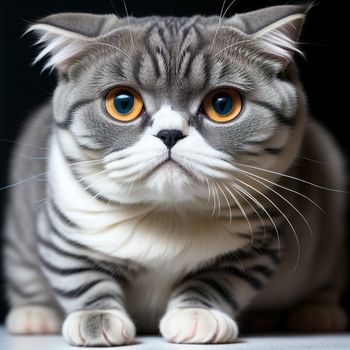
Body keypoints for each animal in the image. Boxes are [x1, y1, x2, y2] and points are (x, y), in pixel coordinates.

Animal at [2, 4, 348, 346]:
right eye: (123, 103)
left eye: (223, 104)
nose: (169, 133)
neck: (167, 215)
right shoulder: (64, 234)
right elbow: (79, 275)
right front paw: (96, 318)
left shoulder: (256, 245)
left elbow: (217, 280)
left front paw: (197, 315)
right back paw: (33, 315)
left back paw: (318, 314)